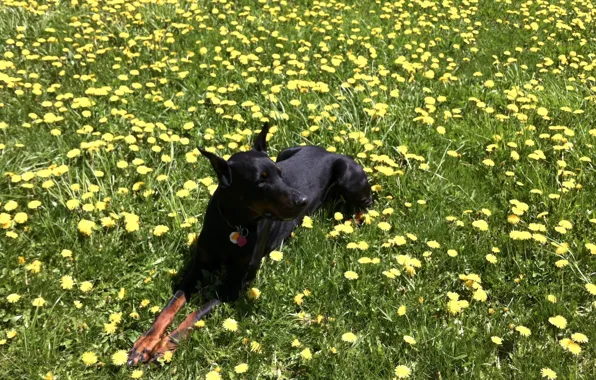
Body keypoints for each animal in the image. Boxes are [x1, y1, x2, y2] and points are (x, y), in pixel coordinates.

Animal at [128, 124, 372, 366]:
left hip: (348, 176)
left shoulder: (236, 284)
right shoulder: (198, 267)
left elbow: (194, 315)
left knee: (367, 206)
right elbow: (170, 305)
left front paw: (167, 344)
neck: (234, 225)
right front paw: (145, 344)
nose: (302, 200)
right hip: (285, 152)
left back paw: (350, 224)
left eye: (280, 174)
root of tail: (328, 151)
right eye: (260, 181)